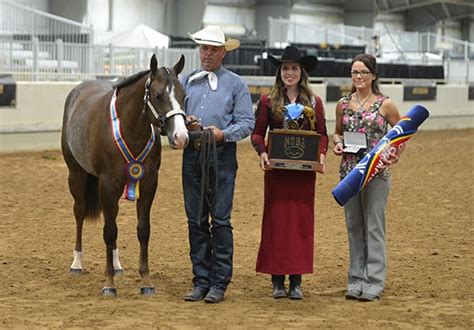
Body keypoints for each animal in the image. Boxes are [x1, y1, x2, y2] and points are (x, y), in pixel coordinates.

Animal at [61, 54, 189, 296]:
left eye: (183, 95)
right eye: (158, 95)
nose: (181, 136)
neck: (131, 130)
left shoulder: (148, 182)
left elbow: (143, 229)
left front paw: (146, 281)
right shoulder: (107, 184)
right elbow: (109, 231)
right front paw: (109, 284)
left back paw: (117, 264)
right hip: (76, 174)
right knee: (79, 213)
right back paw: (77, 263)